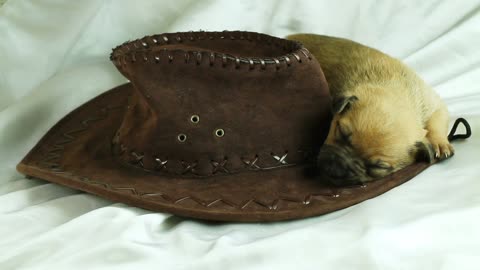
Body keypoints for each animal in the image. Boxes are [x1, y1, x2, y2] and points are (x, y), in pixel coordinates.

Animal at [286, 34, 452, 186]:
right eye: (340, 132)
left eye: (378, 167)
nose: (337, 168)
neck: (395, 88)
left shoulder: (433, 102)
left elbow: (437, 120)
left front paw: (439, 143)